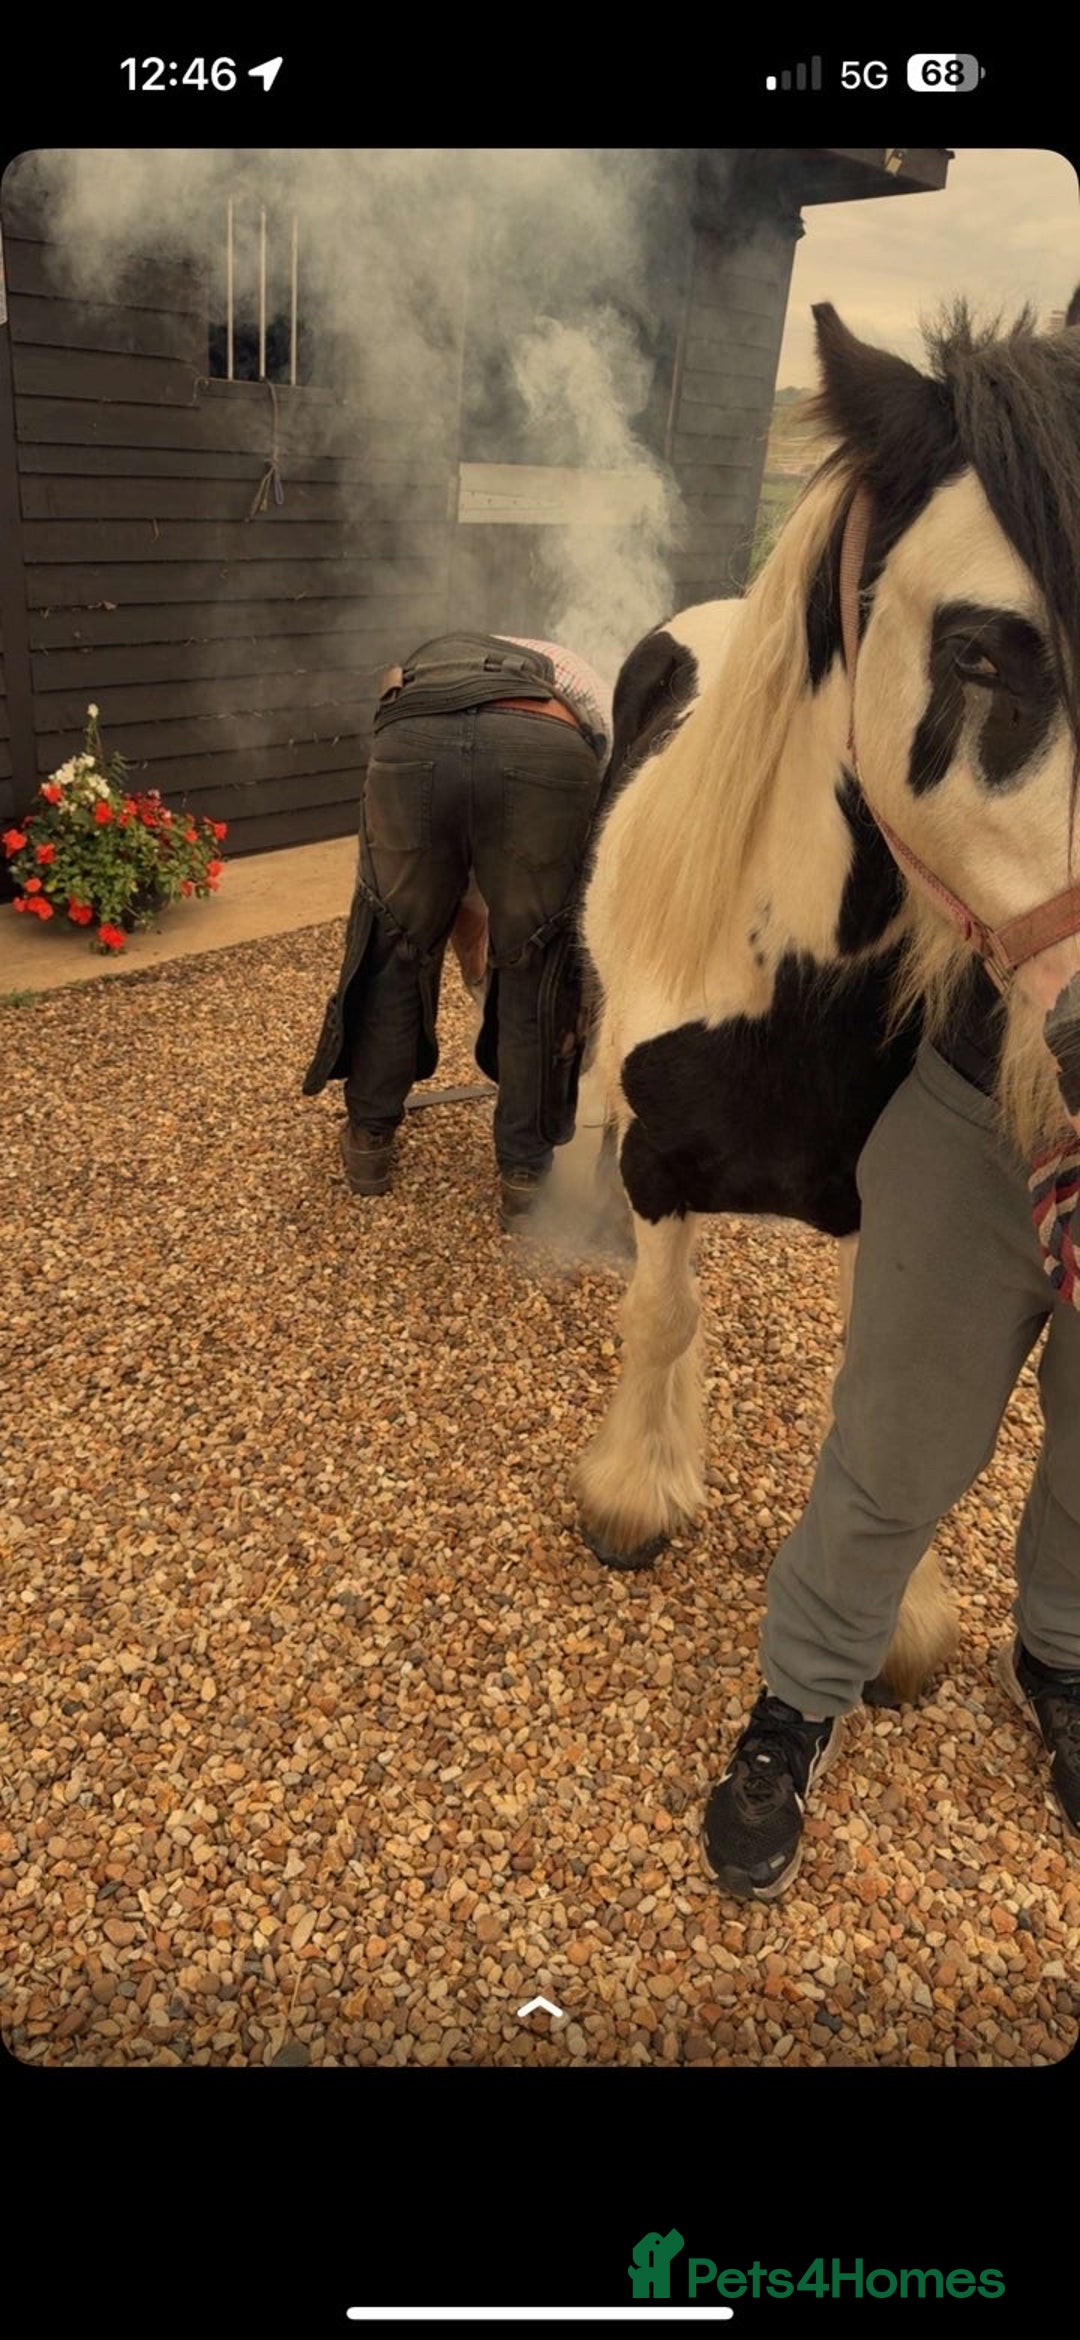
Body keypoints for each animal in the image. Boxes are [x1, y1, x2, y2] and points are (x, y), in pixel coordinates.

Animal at [573, 289, 1080, 1705]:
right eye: (976, 650)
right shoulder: (658, 1161)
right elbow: (663, 1311)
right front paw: (634, 1492)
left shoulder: (888, 1203)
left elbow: (899, 1404)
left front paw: (904, 1613)